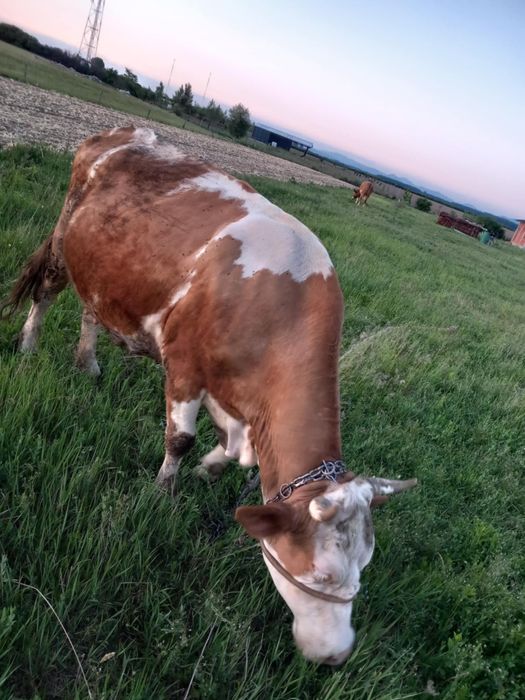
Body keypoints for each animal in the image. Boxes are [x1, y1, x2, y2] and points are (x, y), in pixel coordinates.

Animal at [2, 127, 416, 665]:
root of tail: (123, 131)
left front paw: (206, 470)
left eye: (363, 568)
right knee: (48, 291)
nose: (336, 654)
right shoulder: (184, 365)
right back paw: (29, 347)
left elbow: (228, 458)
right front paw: (163, 493)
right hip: (63, 239)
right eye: (321, 574)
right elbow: (180, 440)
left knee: (91, 309)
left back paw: (88, 362)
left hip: (105, 270)